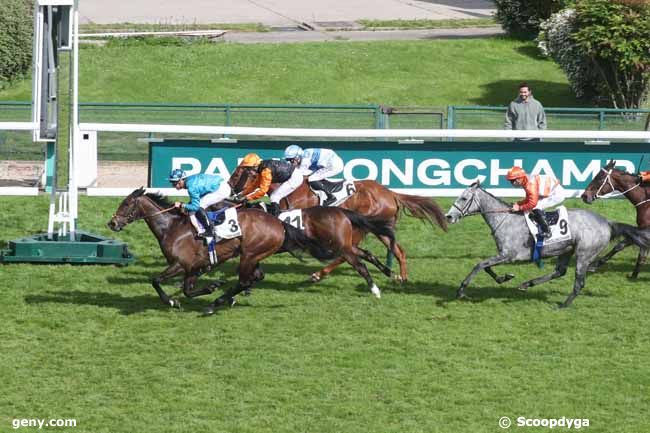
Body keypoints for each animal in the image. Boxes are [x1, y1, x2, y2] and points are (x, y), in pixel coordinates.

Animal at [107, 187, 394, 312]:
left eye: (125, 205)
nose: (112, 223)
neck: (172, 227)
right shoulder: (194, 267)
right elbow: (187, 287)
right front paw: (207, 289)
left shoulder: (182, 264)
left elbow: (157, 280)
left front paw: (173, 299)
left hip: (256, 253)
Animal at [230, 165, 448, 280]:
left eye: (238, 173)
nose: (230, 187)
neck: (292, 188)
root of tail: (390, 193)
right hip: (381, 229)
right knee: (399, 251)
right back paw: (400, 277)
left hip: (359, 228)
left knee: (347, 252)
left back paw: (319, 274)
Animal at [442, 181, 648, 308]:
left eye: (464, 198)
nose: (449, 217)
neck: (505, 219)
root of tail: (607, 222)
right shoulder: (502, 255)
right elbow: (486, 267)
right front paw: (505, 278)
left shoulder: (508, 255)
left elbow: (479, 265)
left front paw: (461, 291)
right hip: (566, 250)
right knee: (559, 272)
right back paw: (527, 284)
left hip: (584, 254)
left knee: (579, 283)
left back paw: (563, 305)